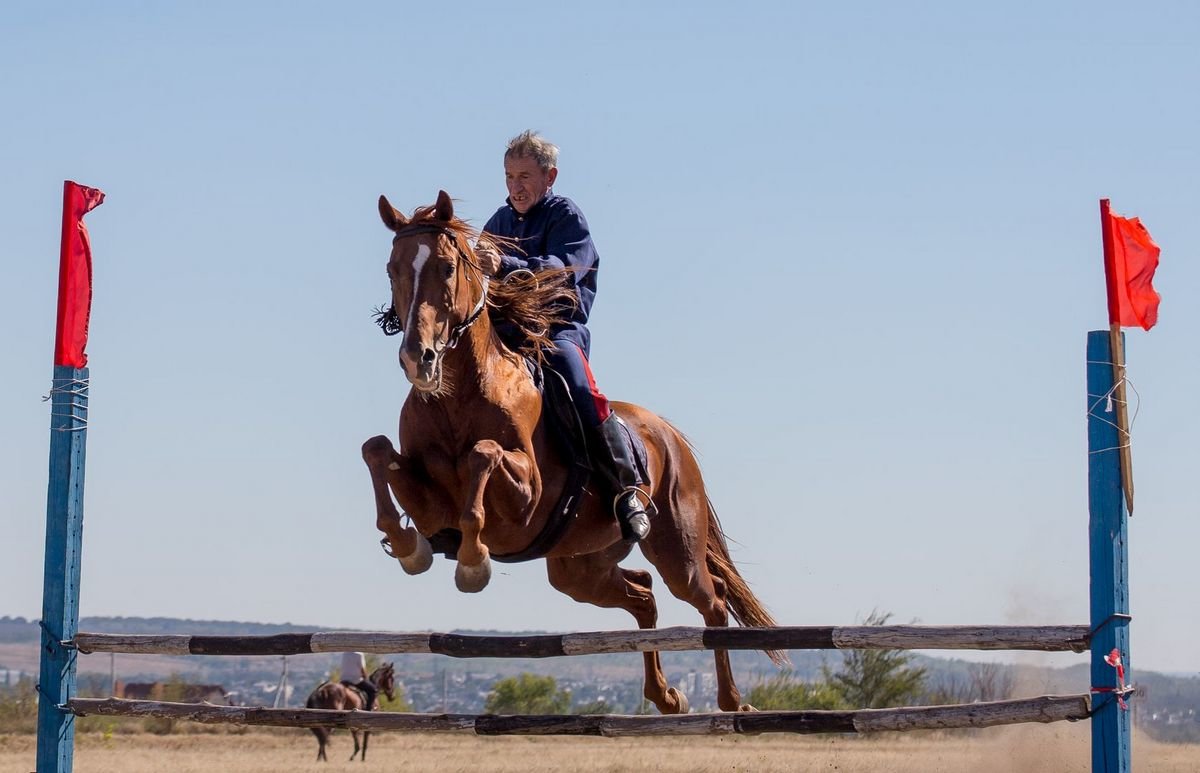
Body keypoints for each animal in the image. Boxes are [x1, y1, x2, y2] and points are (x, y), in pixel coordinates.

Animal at [360, 189, 782, 715]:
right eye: (392, 269)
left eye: (447, 267)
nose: (419, 359)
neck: (458, 394)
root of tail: (671, 436)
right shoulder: (430, 499)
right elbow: (377, 451)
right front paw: (405, 543)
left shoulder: (524, 502)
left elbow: (483, 455)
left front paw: (474, 562)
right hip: (579, 568)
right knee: (643, 594)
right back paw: (665, 697)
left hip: (677, 552)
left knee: (713, 597)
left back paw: (732, 701)